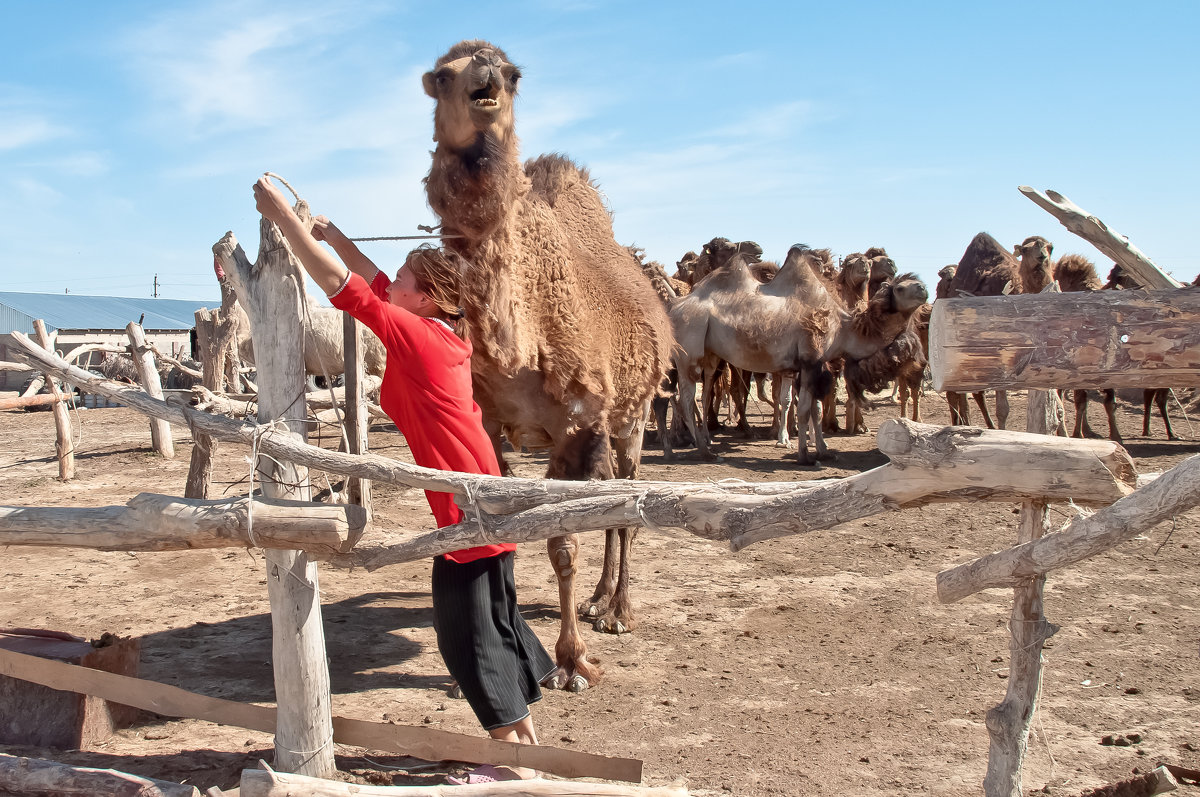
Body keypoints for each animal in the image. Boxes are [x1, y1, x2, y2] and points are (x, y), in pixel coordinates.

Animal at [422, 40, 676, 686]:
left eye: (512, 74)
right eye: (441, 77)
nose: (485, 74)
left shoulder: (578, 423)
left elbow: (563, 545)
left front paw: (570, 663)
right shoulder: (490, 425)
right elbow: (506, 530)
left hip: (634, 413)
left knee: (624, 505)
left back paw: (617, 611)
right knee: (608, 500)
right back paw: (598, 599)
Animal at [672, 246, 921, 463]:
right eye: (900, 288)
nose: (922, 288)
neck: (843, 328)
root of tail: (673, 310)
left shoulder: (814, 365)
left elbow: (815, 411)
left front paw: (824, 451)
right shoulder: (810, 360)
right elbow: (803, 411)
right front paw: (804, 456)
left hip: (709, 354)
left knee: (699, 395)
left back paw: (705, 444)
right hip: (689, 349)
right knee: (686, 398)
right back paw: (705, 451)